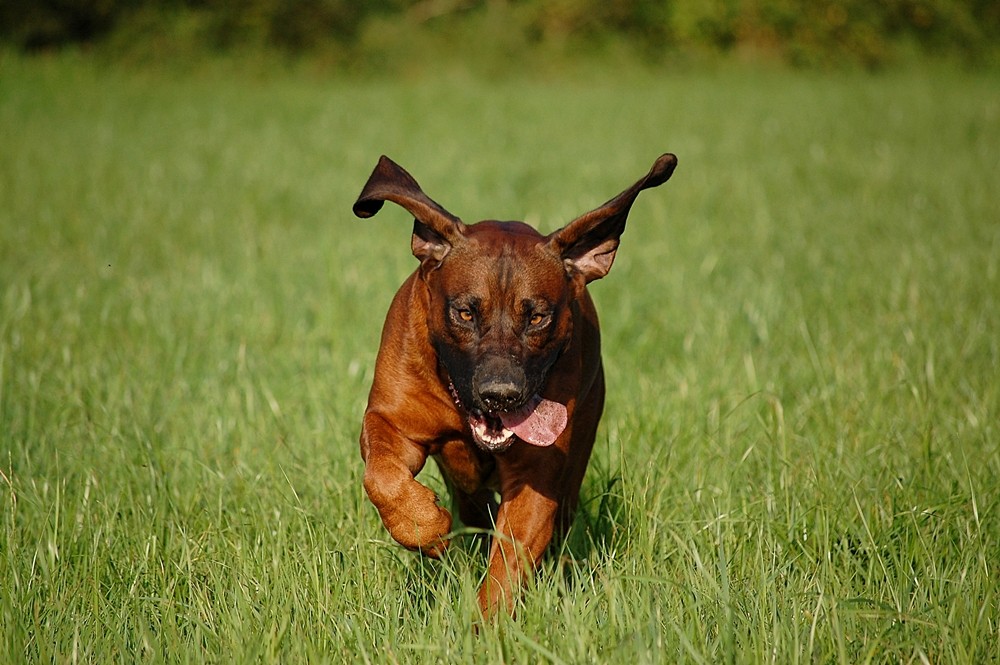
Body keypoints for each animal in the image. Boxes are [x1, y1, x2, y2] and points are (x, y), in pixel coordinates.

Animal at [354, 153, 680, 616]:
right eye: (466, 313)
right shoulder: (390, 420)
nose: (501, 395)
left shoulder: (536, 475)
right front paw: (425, 526)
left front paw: (484, 626)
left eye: (538, 317)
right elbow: (382, 478)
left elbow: (510, 562)